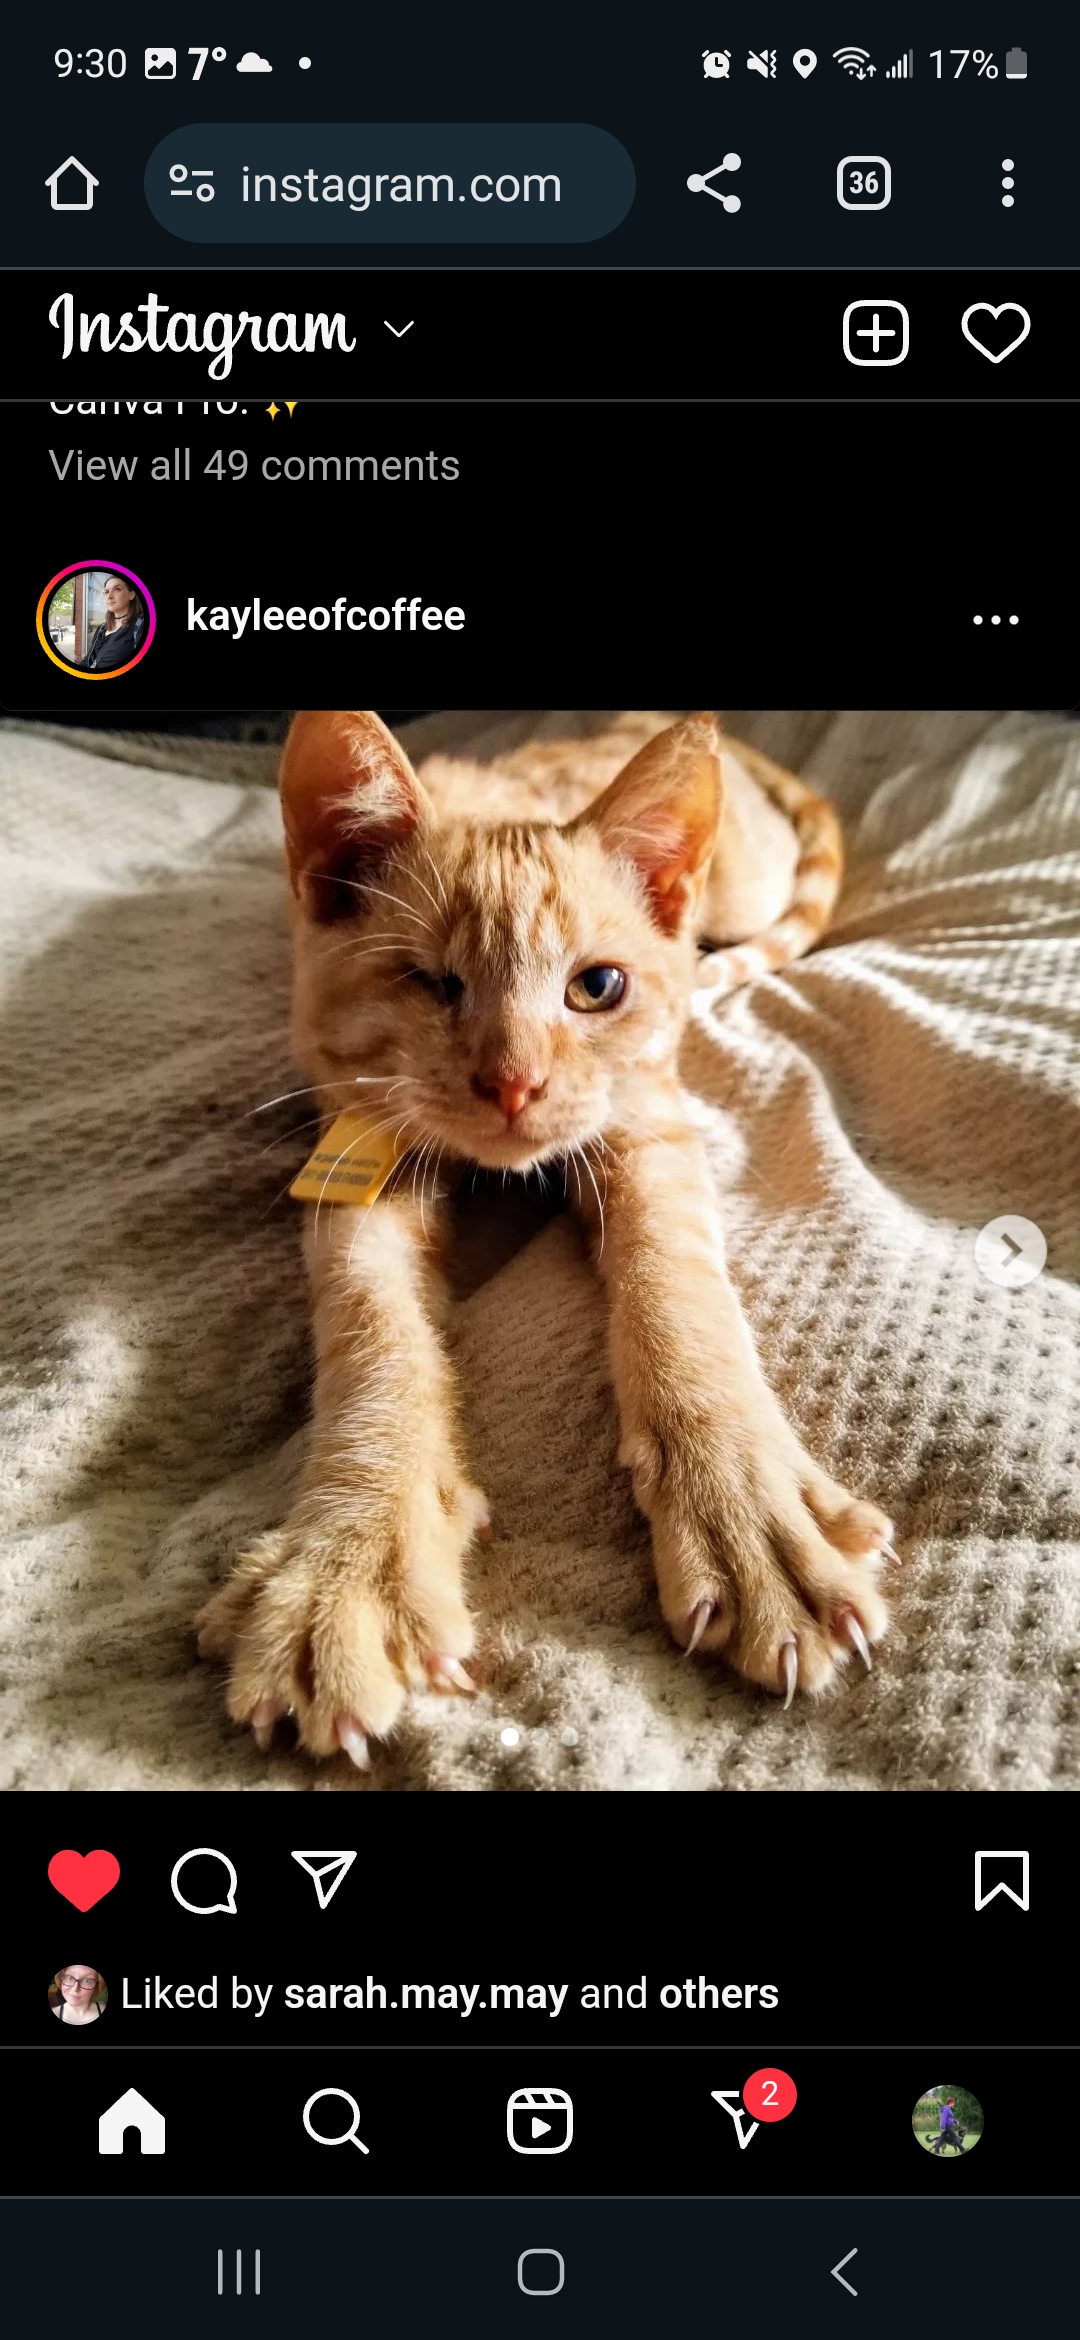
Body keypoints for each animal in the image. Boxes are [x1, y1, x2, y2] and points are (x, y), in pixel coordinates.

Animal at [197, 709, 896, 1768]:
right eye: (429, 983)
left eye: (597, 987)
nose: (514, 1083)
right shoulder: (355, 1157)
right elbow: (373, 1338)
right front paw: (349, 1561)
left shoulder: (649, 1124)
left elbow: (679, 1293)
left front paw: (745, 1509)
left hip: (745, 888)